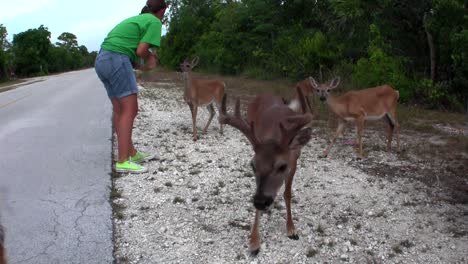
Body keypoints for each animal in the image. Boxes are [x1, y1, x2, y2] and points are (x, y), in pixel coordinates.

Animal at [220, 85, 314, 255]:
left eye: (282, 166)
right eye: (252, 165)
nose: (260, 201)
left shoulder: (294, 162)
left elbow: (287, 194)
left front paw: (291, 229)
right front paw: (254, 241)